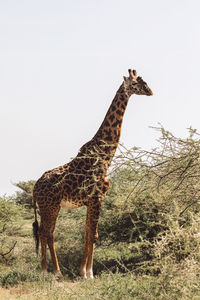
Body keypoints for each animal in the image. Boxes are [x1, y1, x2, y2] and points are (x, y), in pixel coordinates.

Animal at [32, 69, 153, 280]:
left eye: (143, 81)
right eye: (136, 83)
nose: (150, 91)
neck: (106, 154)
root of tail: (34, 187)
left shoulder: (91, 201)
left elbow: (88, 234)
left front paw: (83, 271)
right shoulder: (98, 197)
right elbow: (94, 235)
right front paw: (89, 274)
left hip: (48, 207)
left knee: (45, 233)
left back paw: (49, 271)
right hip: (50, 206)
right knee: (47, 232)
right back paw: (52, 272)